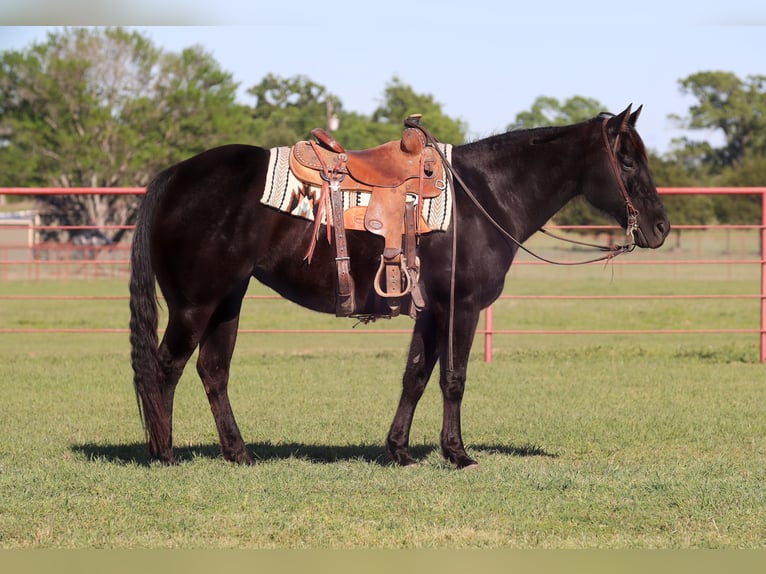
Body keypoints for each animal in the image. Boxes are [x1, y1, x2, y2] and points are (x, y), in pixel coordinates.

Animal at [129, 104, 670, 469]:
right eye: (626, 161)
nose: (661, 227)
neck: (485, 196)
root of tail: (175, 175)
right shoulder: (461, 307)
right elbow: (453, 378)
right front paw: (457, 454)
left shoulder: (430, 312)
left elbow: (415, 376)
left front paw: (400, 451)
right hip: (194, 304)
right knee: (165, 368)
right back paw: (165, 454)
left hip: (227, 300)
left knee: (213, 371)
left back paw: (238, 452)